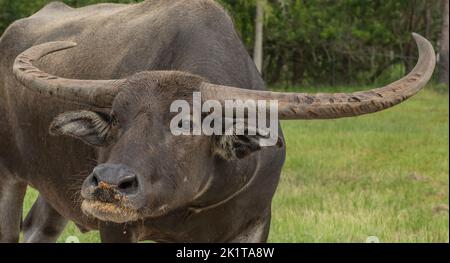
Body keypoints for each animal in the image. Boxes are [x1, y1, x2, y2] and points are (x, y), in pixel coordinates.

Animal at [0, 0, 436, 243]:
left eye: (185, 125)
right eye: (116, 120)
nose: (108, 183)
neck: (194, 204)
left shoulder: (255, 222)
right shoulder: (118, 228)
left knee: (39, 228)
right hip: (9, 177)